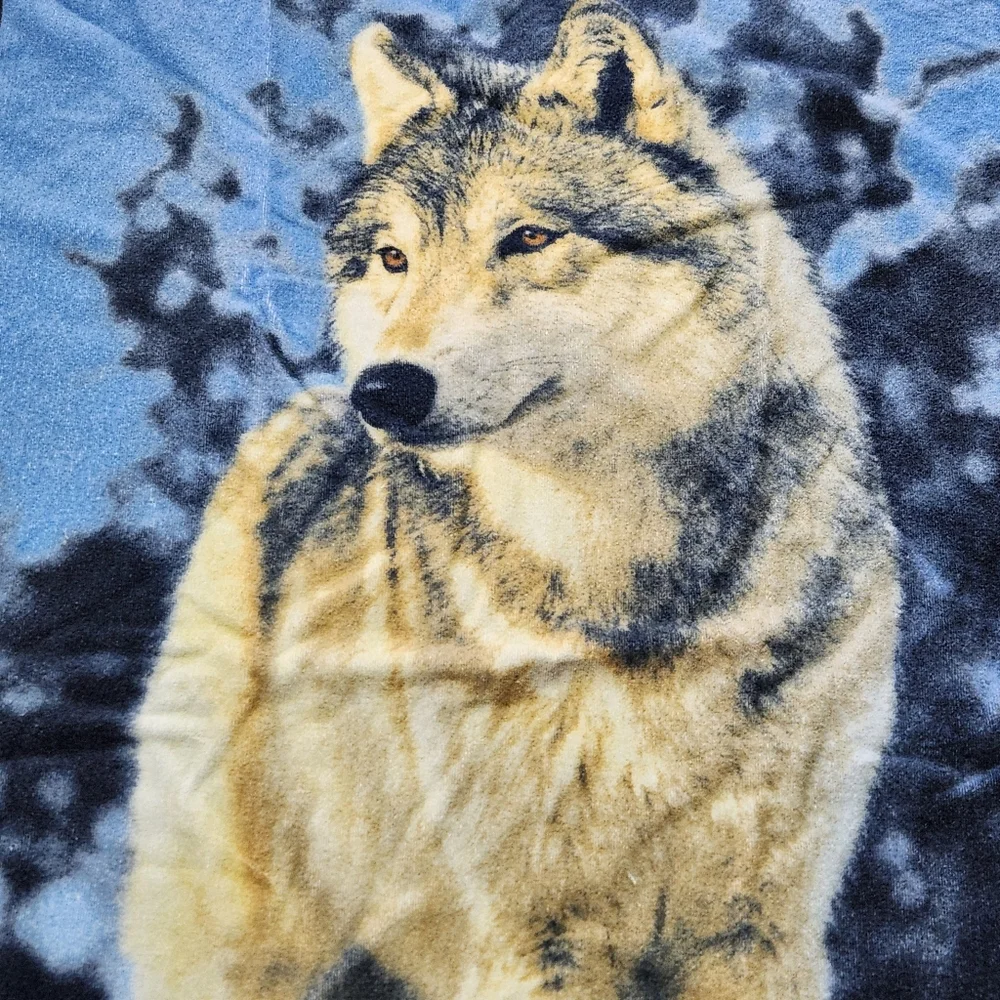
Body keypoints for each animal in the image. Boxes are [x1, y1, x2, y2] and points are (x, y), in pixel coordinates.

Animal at [122, 4, 899, 998]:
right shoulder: (538, 935)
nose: (385, 390)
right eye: (394, 259)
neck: (623, 582)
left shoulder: (753, 932)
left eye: (527, 238)